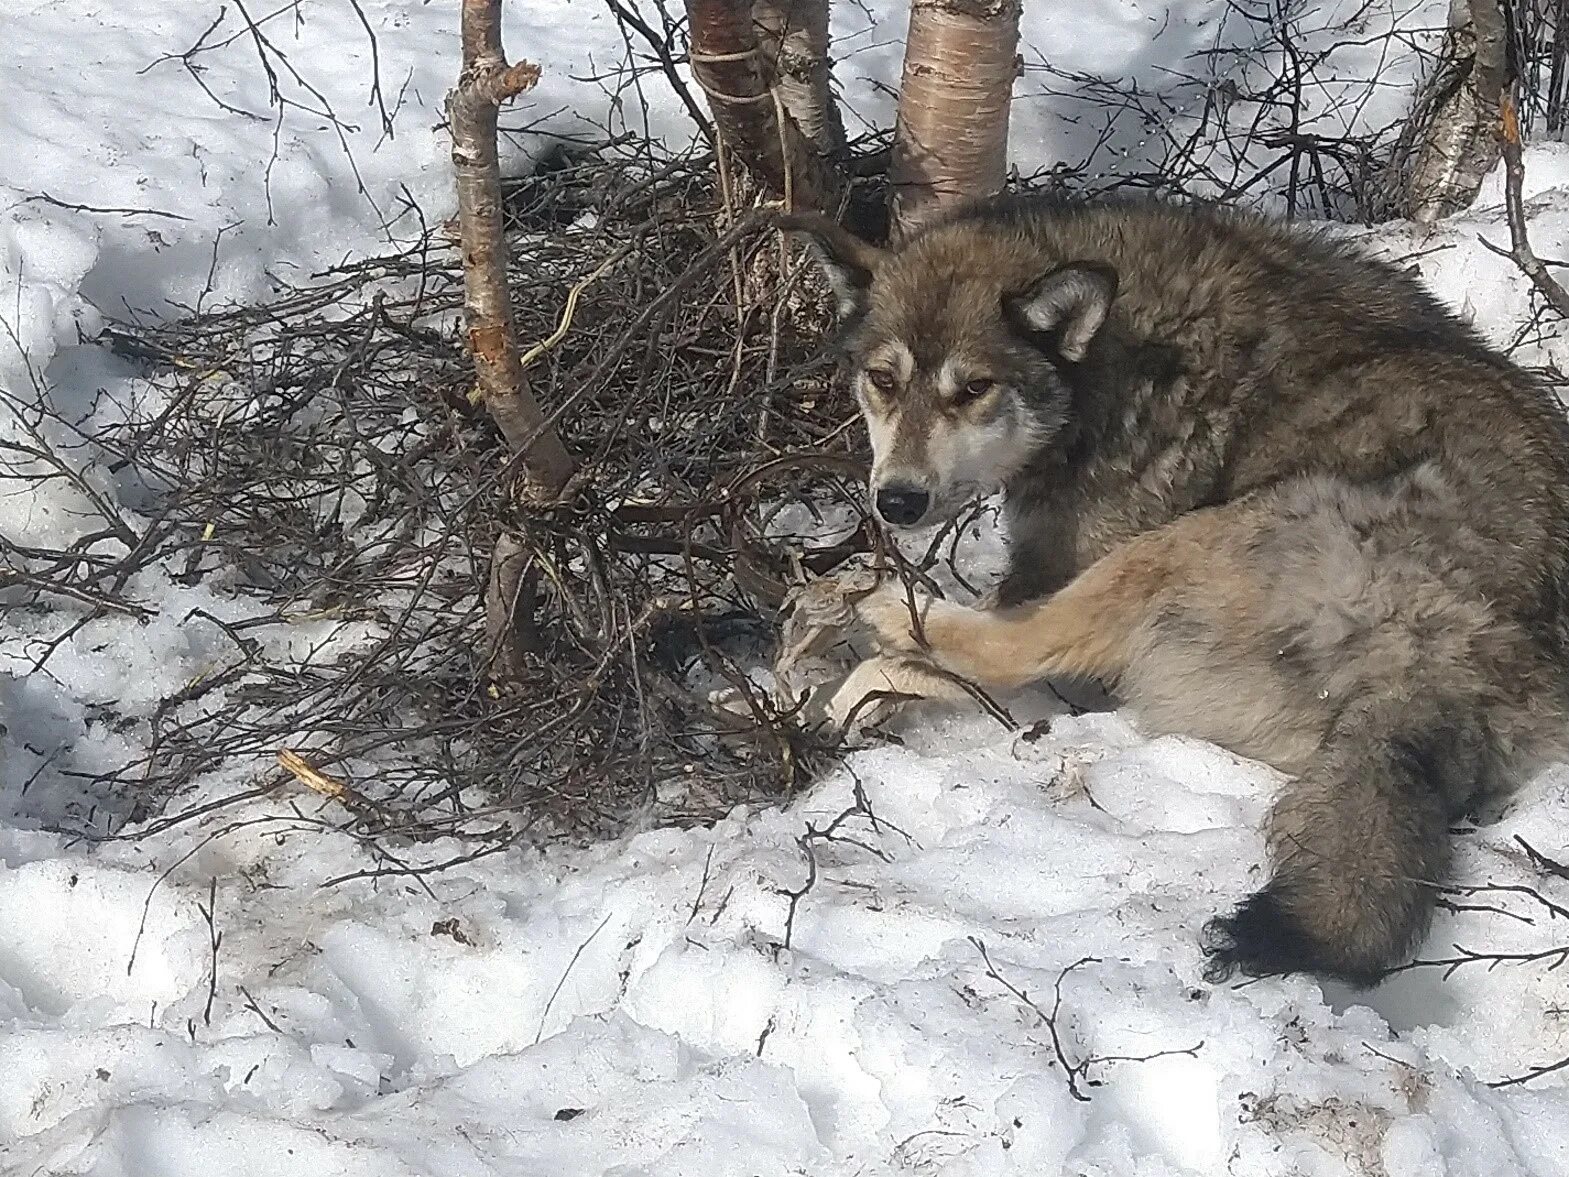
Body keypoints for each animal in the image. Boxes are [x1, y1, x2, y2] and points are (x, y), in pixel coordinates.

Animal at [784, 198, 1569, 991]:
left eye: (972, 390)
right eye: (883, 380)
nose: (896, 502)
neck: (1106, 365)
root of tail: (1443, 677)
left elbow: (973, 652)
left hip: (1193, 538)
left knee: (1008, 647)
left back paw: (880, 612)